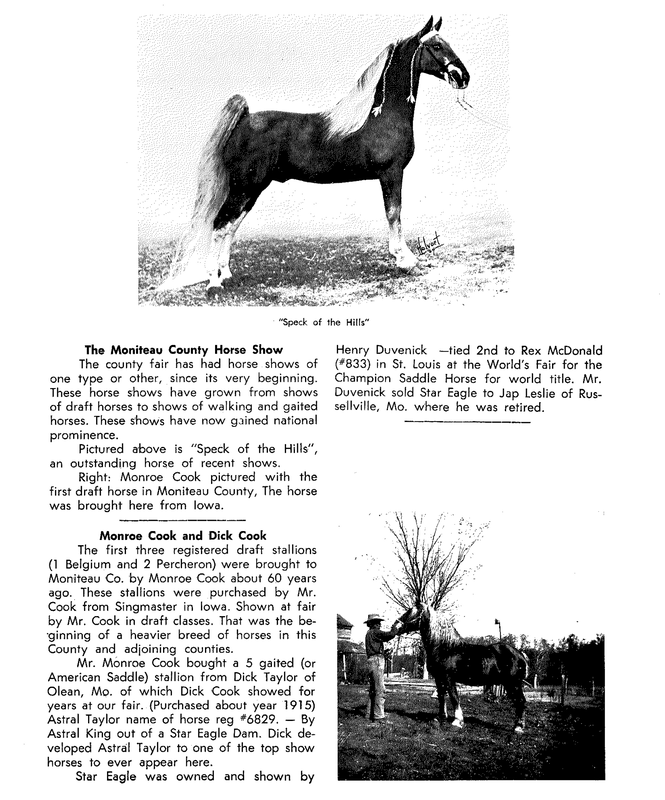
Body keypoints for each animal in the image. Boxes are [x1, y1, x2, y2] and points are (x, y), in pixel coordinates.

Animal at [158, 16, 470, 298]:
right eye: (437, 46)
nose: (463, 76)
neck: (382, 116)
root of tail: (244, 119)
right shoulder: (391, 174)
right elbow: (394, 213)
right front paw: (404, 259)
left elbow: (395, 213)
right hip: (243, 187)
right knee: (221, 223)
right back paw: (214, 281)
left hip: (252, 189)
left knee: (231, 226)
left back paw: (227, 274)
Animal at [393, 604, 528, 733]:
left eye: (409, 612)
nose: (394, 626)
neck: (445, 647)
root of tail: (520, 654)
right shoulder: (439, 679)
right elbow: (441, 697)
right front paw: (441, 717)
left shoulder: (448, 678)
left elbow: (454, 697)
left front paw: (457, 721)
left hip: (513, 684)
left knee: (521, 701)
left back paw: (518, 727)